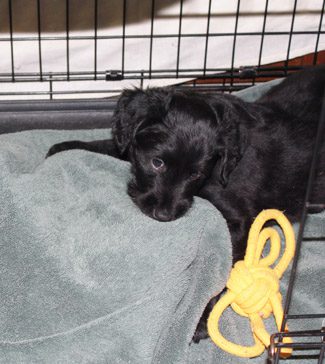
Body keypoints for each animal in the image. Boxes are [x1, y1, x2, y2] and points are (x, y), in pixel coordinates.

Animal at [47, 67, 324, 342]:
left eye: (195, 174)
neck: (220, 167)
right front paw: (65, 147)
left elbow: (225, 270)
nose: (164, 214)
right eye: (157, 163)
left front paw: (201, 320)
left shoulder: (241, 220)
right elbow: (116, 146)